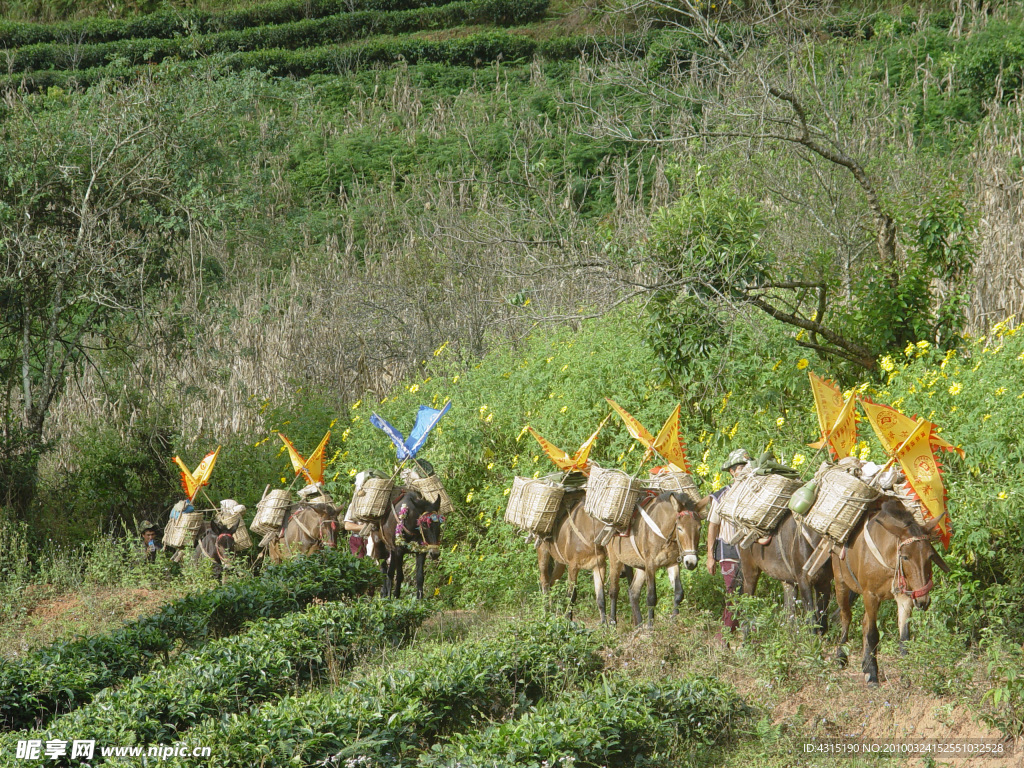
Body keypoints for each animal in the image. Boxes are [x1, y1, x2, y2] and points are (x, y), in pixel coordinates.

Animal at [602, 493, 700, 630]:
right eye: (680, 528)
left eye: (699, 528)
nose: (691, 562)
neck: (662, 531)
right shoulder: (651, 565)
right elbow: (651, 597)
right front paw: (650, 627)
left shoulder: (672, 563)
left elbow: (679, 592)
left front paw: (673, 621)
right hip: (615, 560)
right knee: (613, 591)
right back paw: (612, 623)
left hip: (641, 567)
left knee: (633, 592)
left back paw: (638, 625)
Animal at [831, 501, 950, 688]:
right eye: (905, 557)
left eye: (930, 555)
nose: (923, 601)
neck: (889, 559)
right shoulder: (870, 594)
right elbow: (873, 634)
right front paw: (873, 675)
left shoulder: (905, 597)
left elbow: (904, 637)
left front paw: (905, 675)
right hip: (840, 582)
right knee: (846, 617)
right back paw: (841, 658)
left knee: (864, 622)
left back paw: (865, 664)